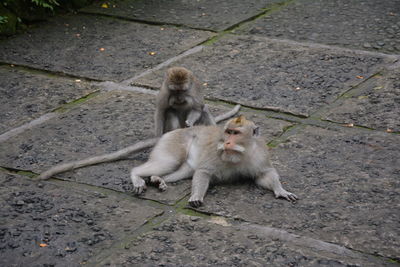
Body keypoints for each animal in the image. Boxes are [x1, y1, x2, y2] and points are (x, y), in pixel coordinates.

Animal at [130, 115, 296, 207]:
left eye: (236, 133)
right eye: (228, 132)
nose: (227, 142)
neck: (242, 153)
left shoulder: (260, 155)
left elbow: (264, 175)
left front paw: (281, 190)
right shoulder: (217, 152)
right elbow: (204, 171)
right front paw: (196, 196)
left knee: (182, 171)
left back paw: (157, 179)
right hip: (173, 143)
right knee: (169, 162)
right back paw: (136, 176)